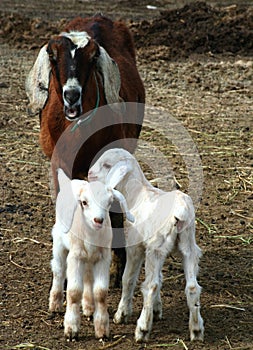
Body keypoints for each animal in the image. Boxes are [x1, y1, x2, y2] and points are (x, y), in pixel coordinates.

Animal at [25, 14, 144, 288]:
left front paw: (116, 269)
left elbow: (114, 211)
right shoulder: (58, 164)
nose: (71, 95)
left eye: (91, 59)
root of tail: (97, 17)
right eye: (53, 56)